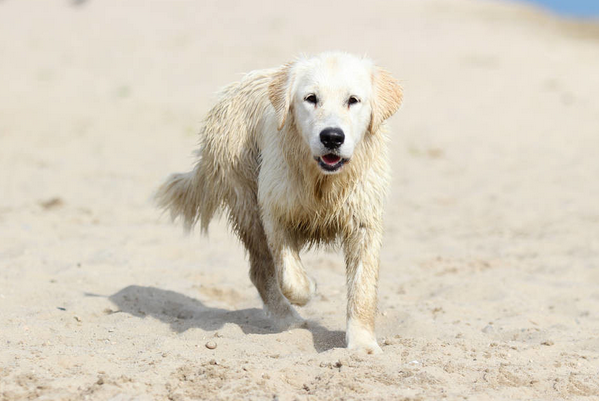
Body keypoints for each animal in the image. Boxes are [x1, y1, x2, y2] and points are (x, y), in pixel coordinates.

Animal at [157, 50, 404, 354]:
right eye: (311, 98)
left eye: (353, 100)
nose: (332, 137)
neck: (322, 181)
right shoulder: (274, 212)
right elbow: (291, 278)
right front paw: (309, 287)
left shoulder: (364, 221)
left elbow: (363, 289)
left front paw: (363, 345)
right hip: (246, 202)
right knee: (260, 269)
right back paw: (288, 320)